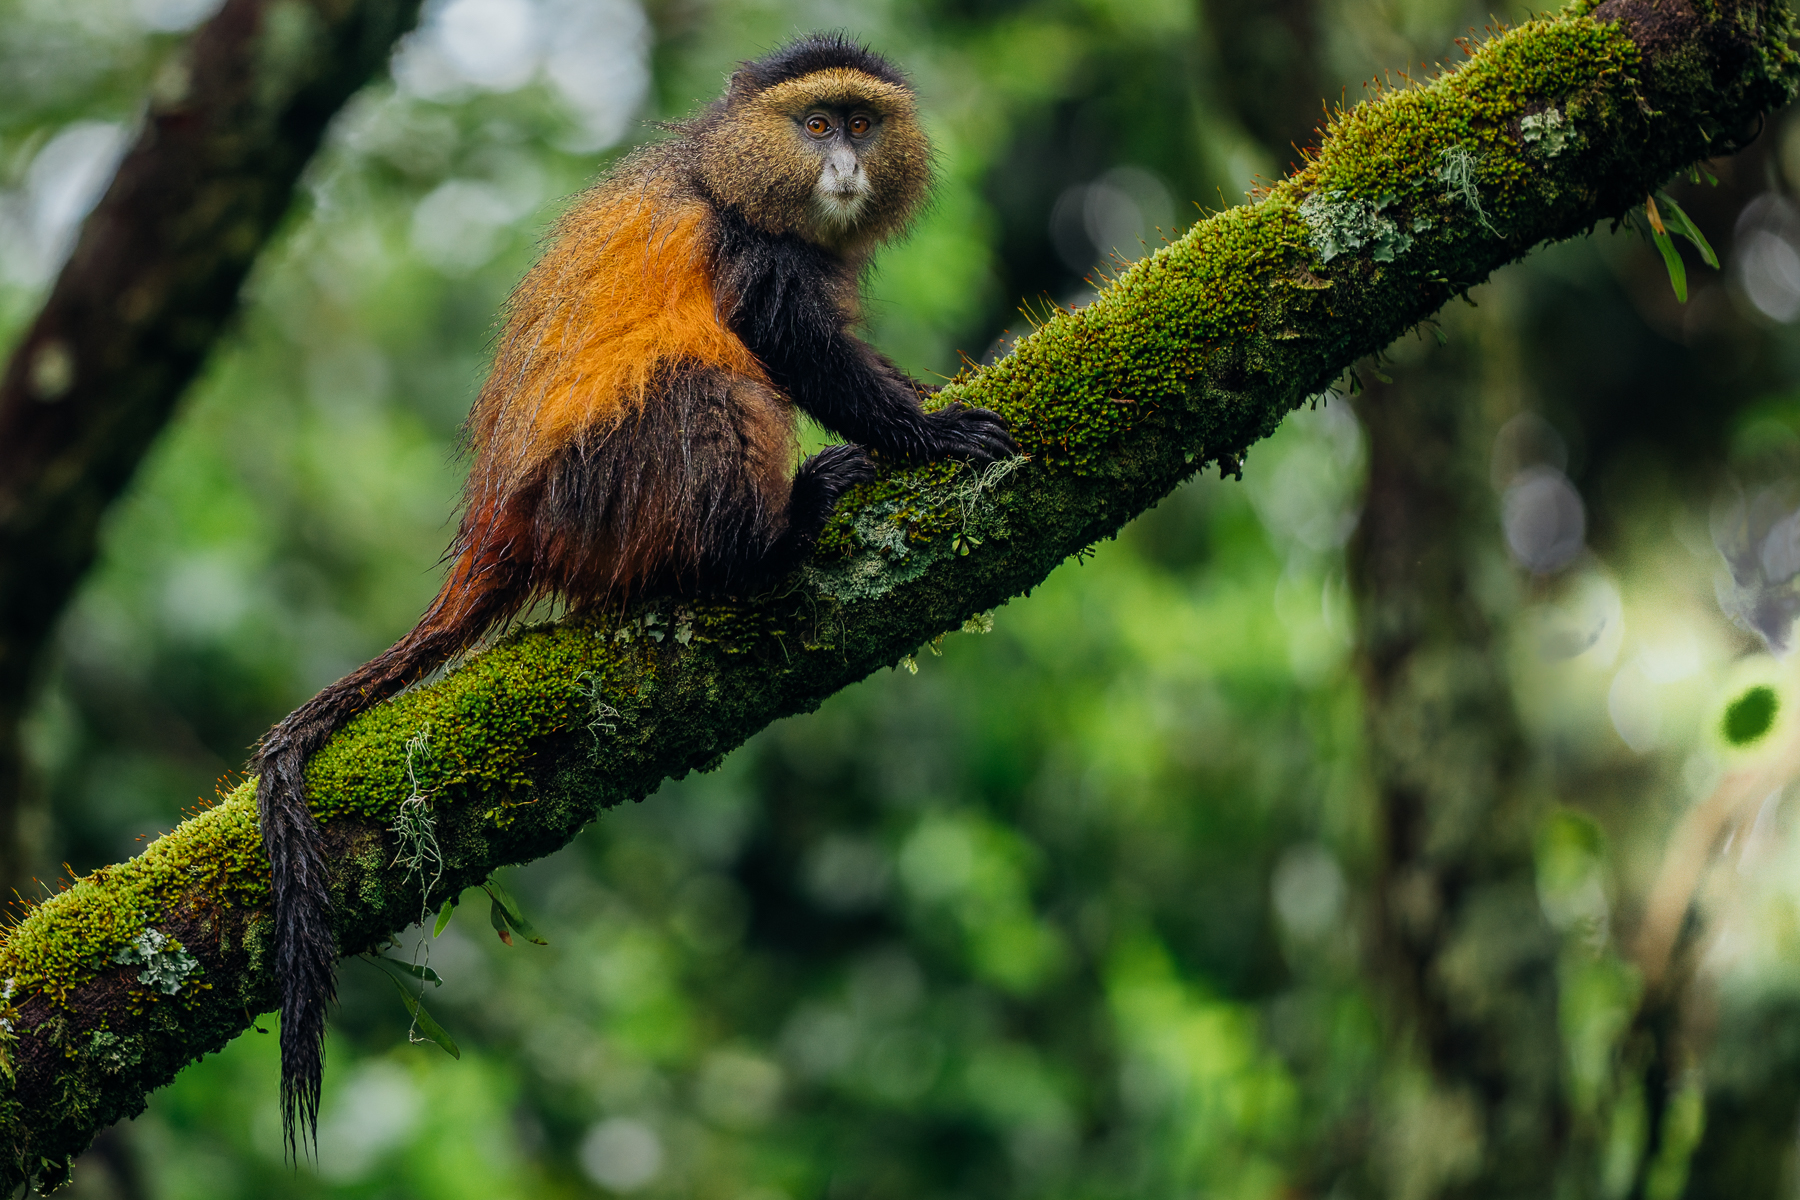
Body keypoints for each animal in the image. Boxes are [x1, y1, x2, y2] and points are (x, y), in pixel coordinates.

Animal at [253, 32, 1014, 1155]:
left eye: (862, 122)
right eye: (815, 124)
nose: (844, 167)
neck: (731, 177)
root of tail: (502, 529)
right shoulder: (756, 258)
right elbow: (796, 350)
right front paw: (928, 428)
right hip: (606, 486)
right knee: (715, 381)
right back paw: (768, 542)